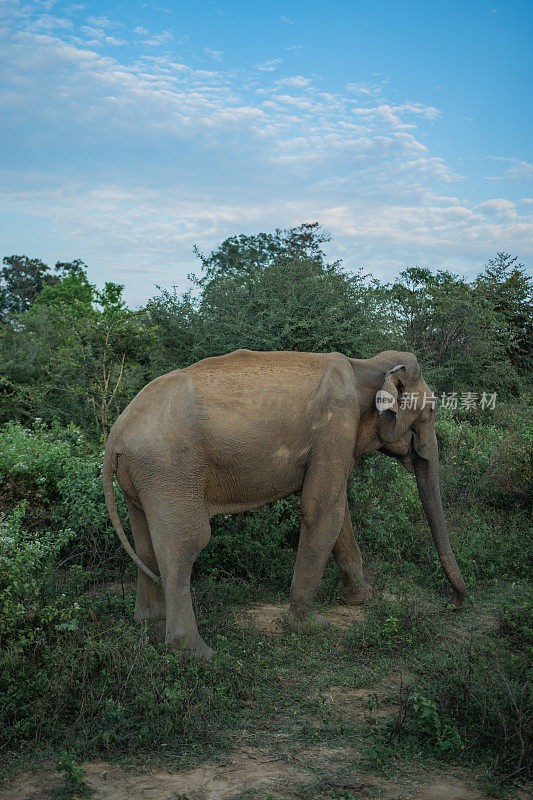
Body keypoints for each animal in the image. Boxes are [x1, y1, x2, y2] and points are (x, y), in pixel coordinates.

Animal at [103, 350, 466, 656]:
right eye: (431, 410)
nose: (453, 604)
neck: (364, 365)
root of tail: (115, 435)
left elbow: (337, 510)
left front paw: (362, 599)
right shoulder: (336, 426)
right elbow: (322, 509)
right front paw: (309, 627)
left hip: (142, 477)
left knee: (145, 543)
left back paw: (149, 628)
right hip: (169, 469)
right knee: (184, 544)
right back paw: (195, 654)